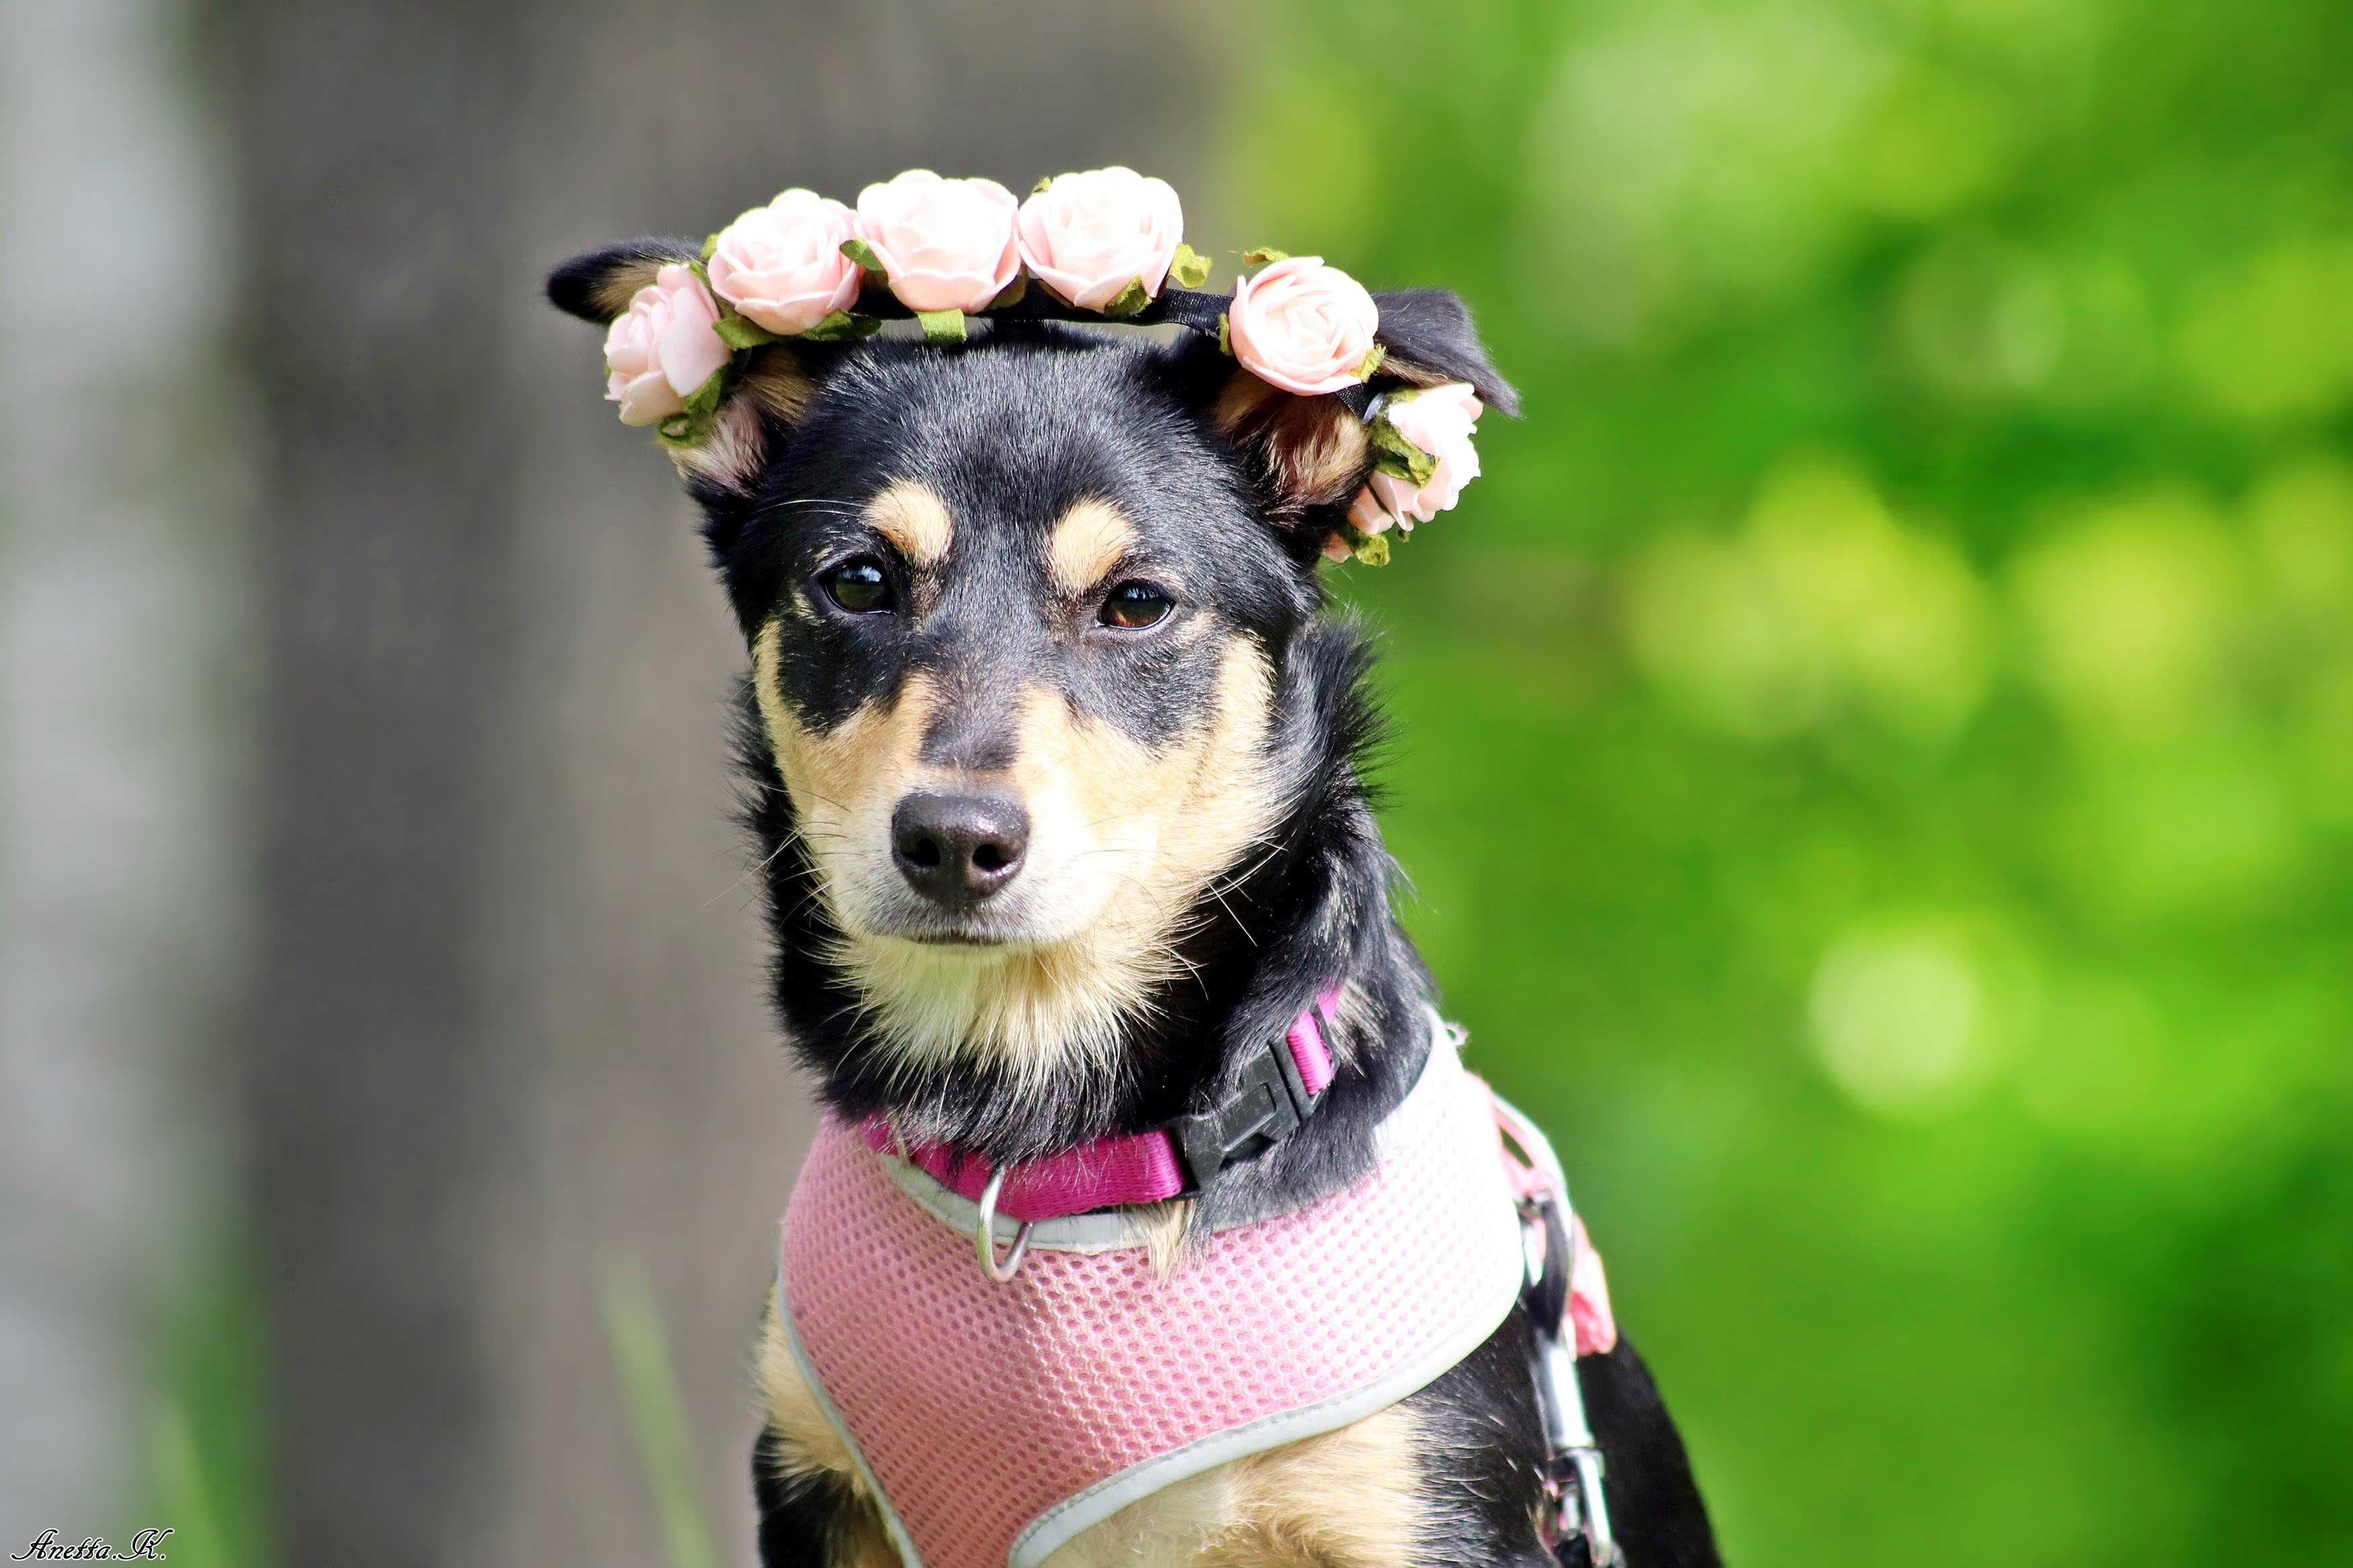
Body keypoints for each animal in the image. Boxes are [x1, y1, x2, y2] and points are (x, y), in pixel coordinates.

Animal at [560, 208, 1722, 1568]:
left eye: (1136, 603)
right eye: (855, 581)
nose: (954, 839)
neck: (1037, 1143)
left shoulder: (1425, 1512)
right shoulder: (811, 1488)